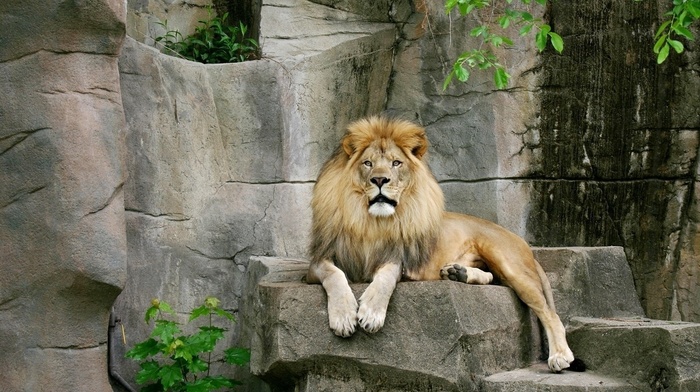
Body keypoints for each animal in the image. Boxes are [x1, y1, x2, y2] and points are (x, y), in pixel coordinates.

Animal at [306, 117, 580, 374]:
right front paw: (343, 317)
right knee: (494, 279)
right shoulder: (317, 261)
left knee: (549, 312)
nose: (380, 179)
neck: (371, 223)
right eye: (368, 163)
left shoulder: (400, 259)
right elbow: (334, 274)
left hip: (507, 262)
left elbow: (385, 276)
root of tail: (520, 239)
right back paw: (458, 273)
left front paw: (372, 312)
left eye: (396, 163)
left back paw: (560, 356)